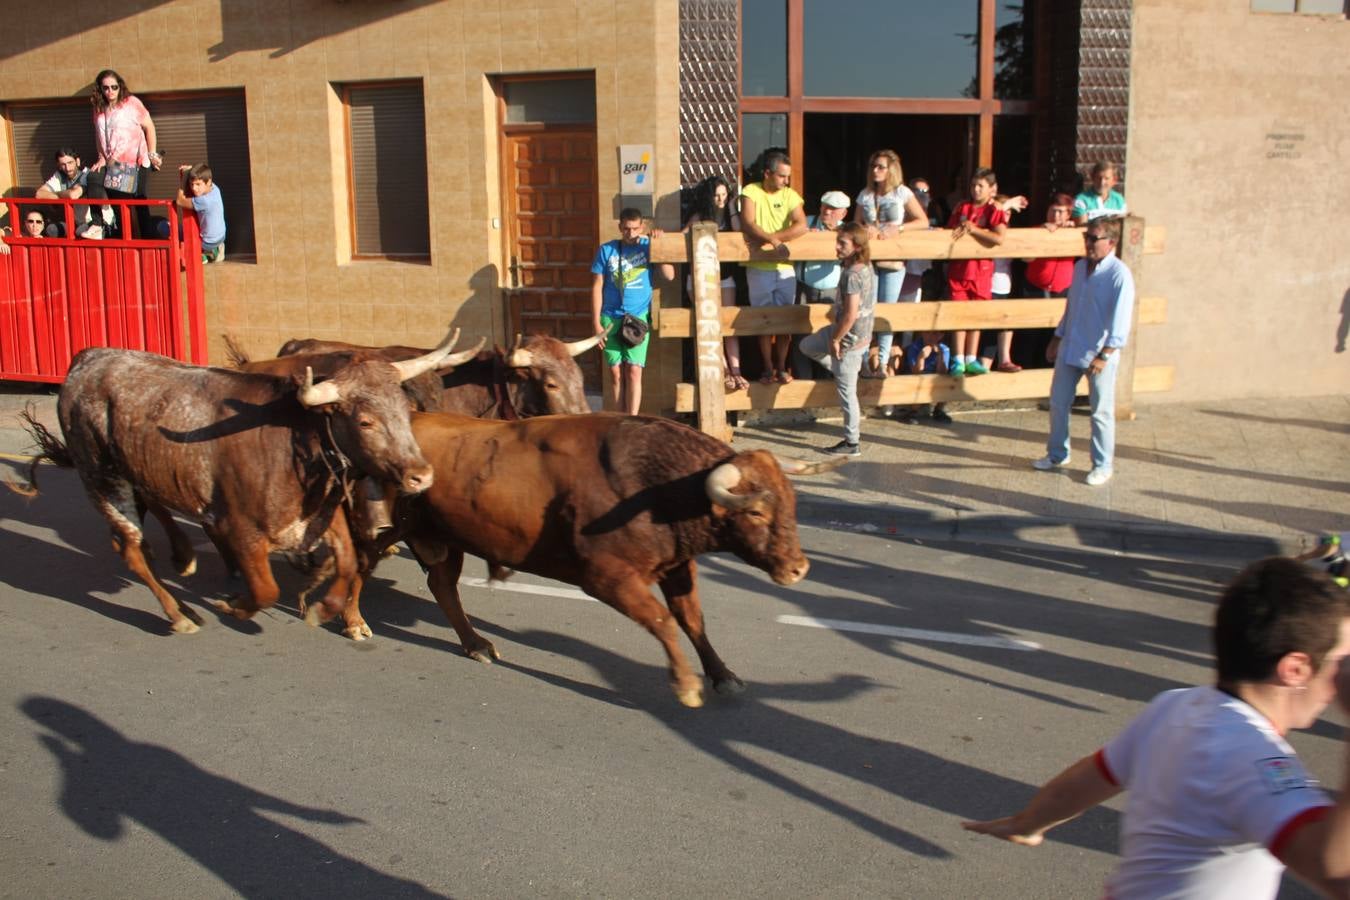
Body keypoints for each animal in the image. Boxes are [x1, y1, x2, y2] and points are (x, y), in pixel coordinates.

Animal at [15, 334, 459, 636]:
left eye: (404, 408)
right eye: (366, 421)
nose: (422, 474)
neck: (293, 437)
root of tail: (87, 359)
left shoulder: (318, 516)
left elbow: (348, 563)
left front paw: (324, 608)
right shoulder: (242, 530)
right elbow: (264, 590)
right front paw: (235, 606)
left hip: (139, 472)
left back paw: (182, 559)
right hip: (104, 479)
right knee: (130, 549)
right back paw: (179, 613)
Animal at [380, 412, 842, 707]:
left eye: (791, 501)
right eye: (757, 512)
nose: (799, 568)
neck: (656, 485)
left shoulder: (676, 566)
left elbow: (692, 620)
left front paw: (723, 676)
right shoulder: (607, 579)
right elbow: (662, 621)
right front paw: (686, 684)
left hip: (445, 540)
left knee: (442, 586)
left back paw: (475, 644)